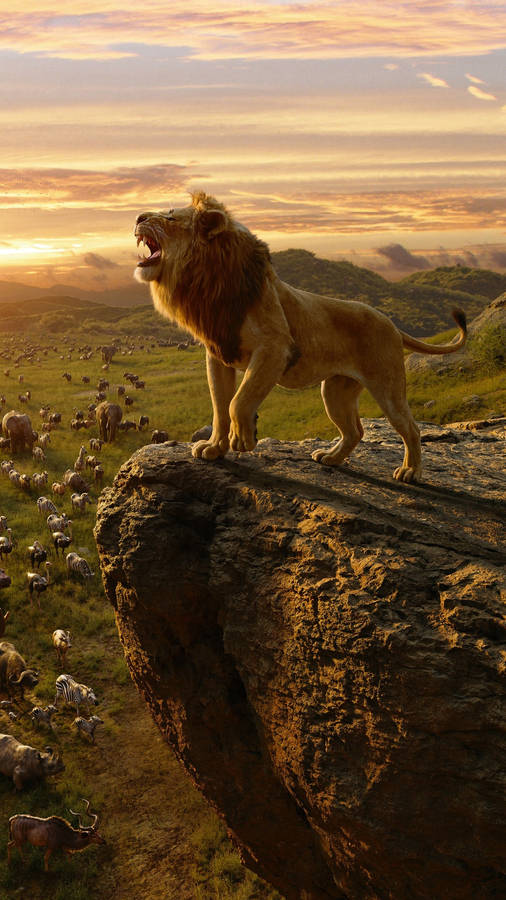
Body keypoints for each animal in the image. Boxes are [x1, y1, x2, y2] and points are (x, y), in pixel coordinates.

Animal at [134, 192, 466, 482]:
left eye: (170, 217)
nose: (137, 217)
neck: (206, 283)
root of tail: (392, 324)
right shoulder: (218, 353)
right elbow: (219, 406)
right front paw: (215, 448)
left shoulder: (275, 348)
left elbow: (238, 401)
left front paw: (243, 439)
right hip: (335, 391)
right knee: (355, 430)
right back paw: (331, 458)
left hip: (387, 387)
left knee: (410, 428)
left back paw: (410, 472)